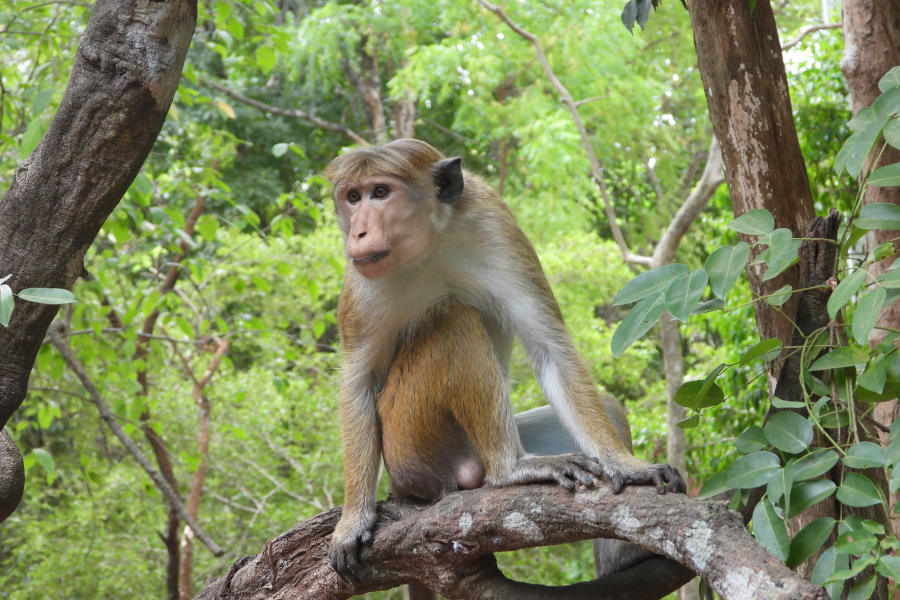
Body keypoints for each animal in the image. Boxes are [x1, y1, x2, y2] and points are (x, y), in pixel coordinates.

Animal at [324, 138, 685, 586]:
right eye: (352, 197)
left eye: (380, 192)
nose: (358, 231)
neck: (431, 243)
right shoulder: (361, 287)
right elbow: (359, 381)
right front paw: (353, 519)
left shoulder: (495, 224)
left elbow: (549, 347)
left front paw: (628, 467)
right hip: (409, 442)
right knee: (455, 321)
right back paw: (510, 468)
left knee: (606, 407)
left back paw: (616, 555)